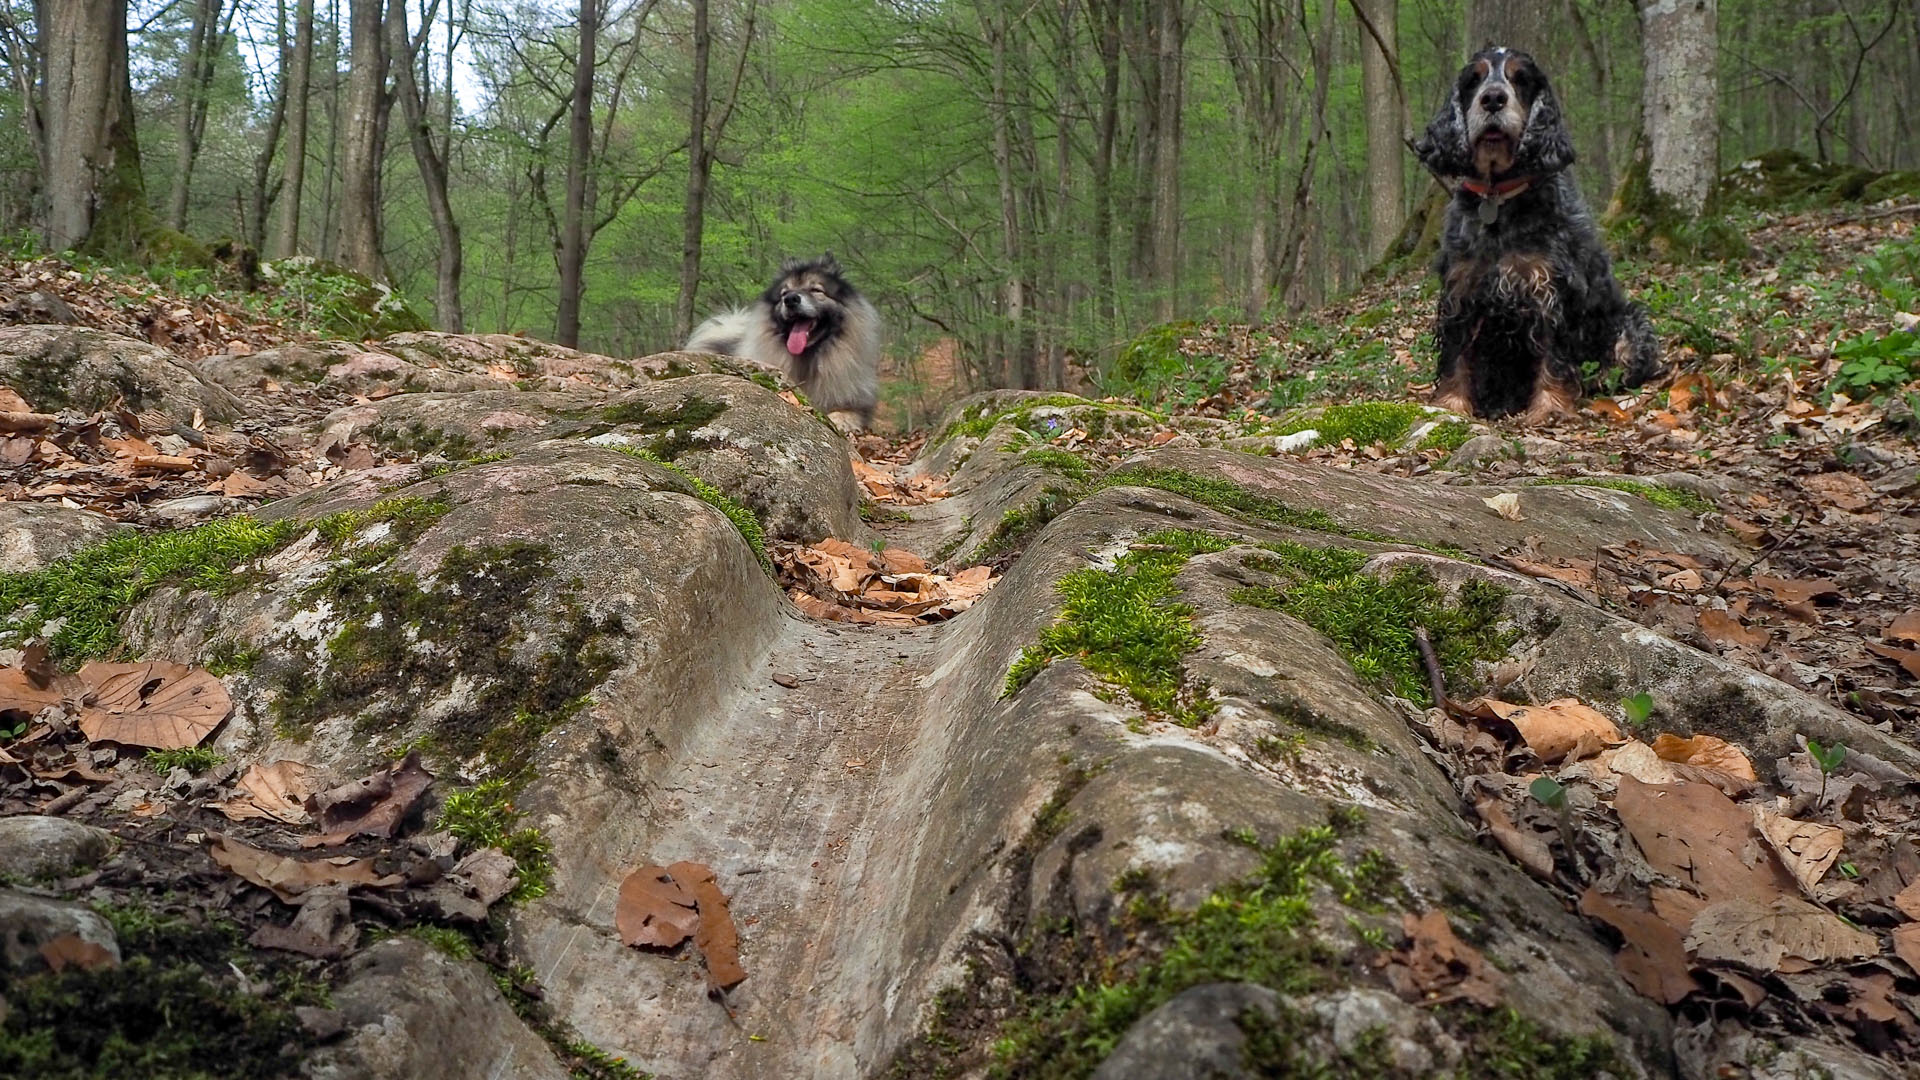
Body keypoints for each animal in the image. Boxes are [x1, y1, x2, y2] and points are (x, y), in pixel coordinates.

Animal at [687, 253, 879, 430]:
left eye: (816, 290)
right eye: (784, 293)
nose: (791, 299)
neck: (806, 360)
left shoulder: (857, 403)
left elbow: (850, 412)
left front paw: (840, 420)